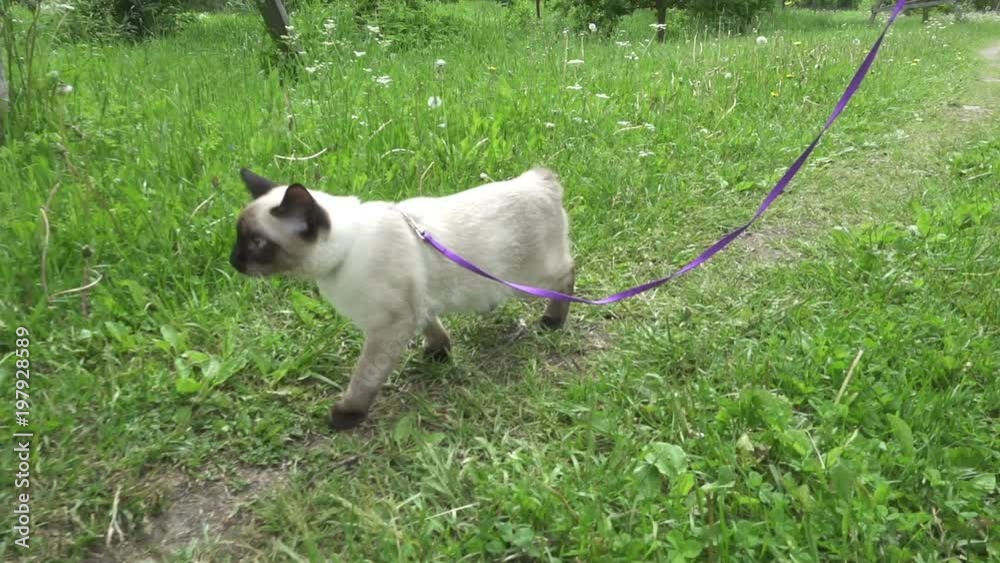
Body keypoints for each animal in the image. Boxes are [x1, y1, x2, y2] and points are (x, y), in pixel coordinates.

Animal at [230, 167, 575, 430]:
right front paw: (439, 354)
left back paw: (552, 322)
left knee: (568, 273)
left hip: (528, 279)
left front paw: (346, 415)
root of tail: (540, 177)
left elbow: (365, 376)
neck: (344, 255)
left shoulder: (389, 325)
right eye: (238, 238)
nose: (233, 262)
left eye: (257, 243)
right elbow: (434, 329)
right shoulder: (416, 309)